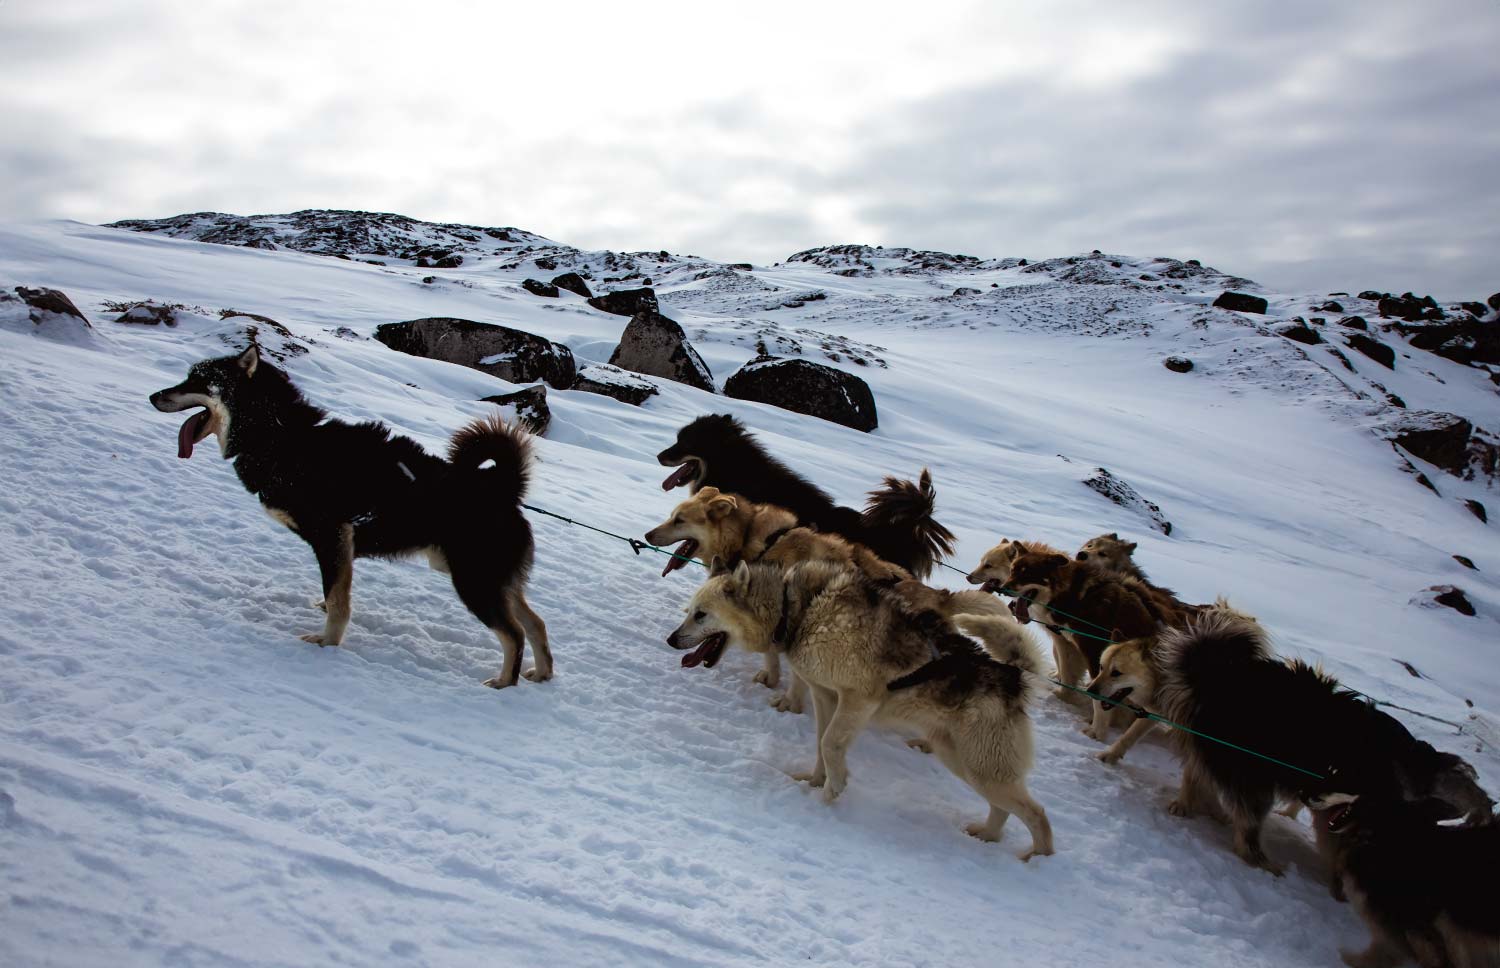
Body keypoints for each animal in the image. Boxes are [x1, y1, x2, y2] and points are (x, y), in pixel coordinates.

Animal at [669, 558, 1056, 858]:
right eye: (688, 612)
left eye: (701, 615)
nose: (672, 639)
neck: (800, 610)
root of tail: (1014, 676)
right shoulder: (826, 697)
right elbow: (821, 744)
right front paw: (815, 782)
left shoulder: (858, 699)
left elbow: (830, 744)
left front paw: (831, 793)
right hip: (965, 763)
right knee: (1004, 810)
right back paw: (987, 836)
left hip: (983, 769)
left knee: (1038, 815)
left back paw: (1034, 862)